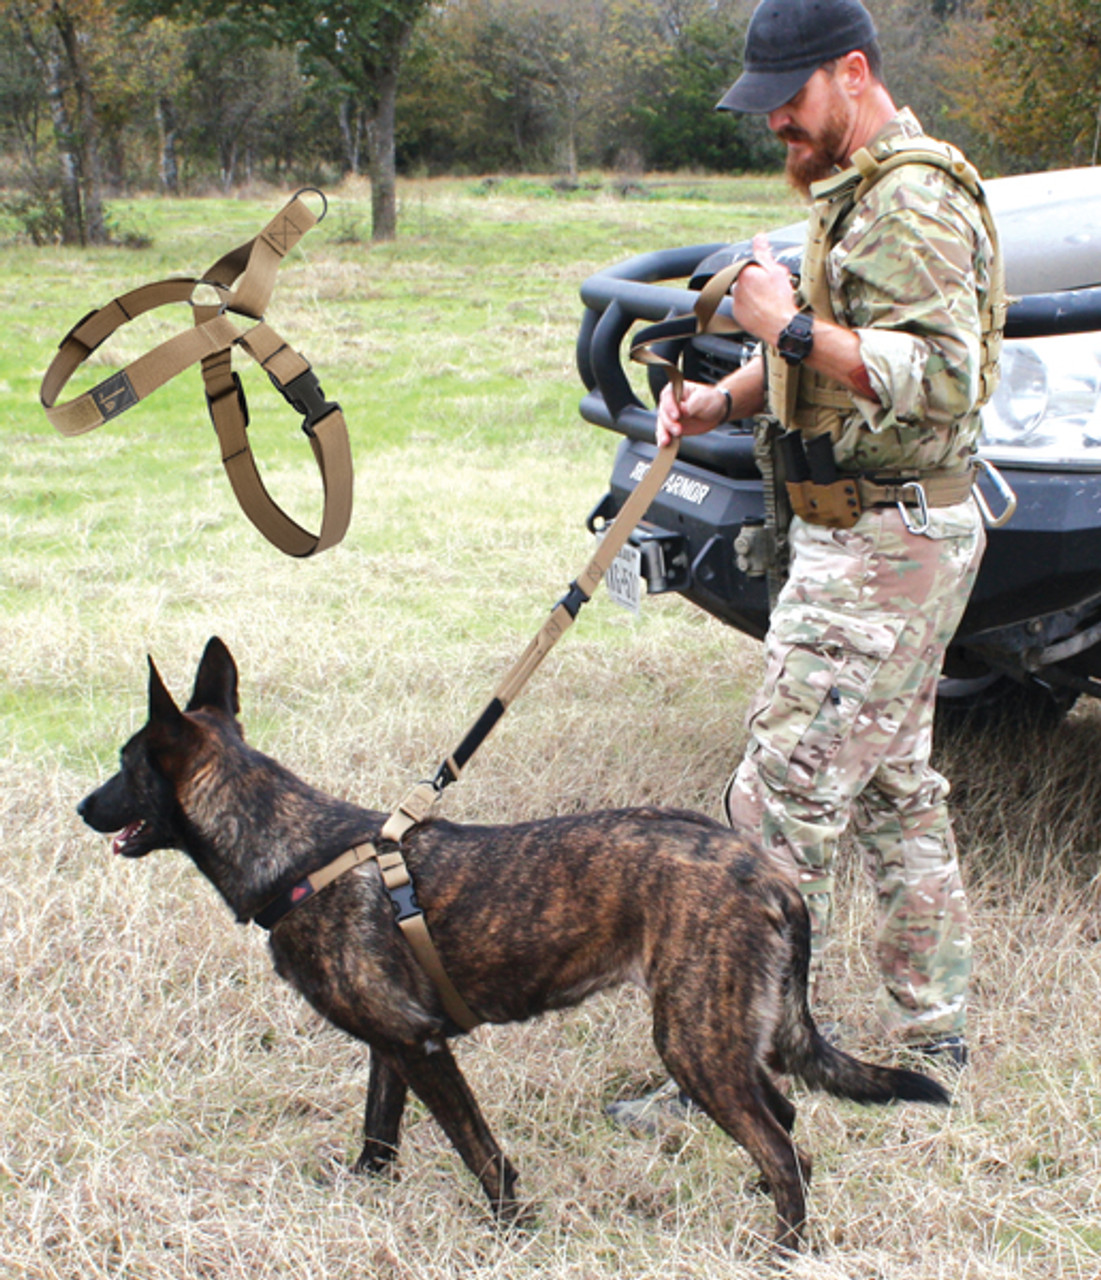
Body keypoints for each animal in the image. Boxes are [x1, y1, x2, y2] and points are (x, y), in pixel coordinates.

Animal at [81, 640, 952, 1249]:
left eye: (124, 766)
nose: (83, 806)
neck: (292, 851)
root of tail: (769, 873)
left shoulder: (423, 1048)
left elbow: (482, 1153)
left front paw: (510, 1233)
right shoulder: (392, 1047)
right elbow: (377, 1132)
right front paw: (361, 1195)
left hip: (691, 1040)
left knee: (782, 1149)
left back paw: (782, 1249)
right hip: (720, 1036)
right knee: (786, 1122)